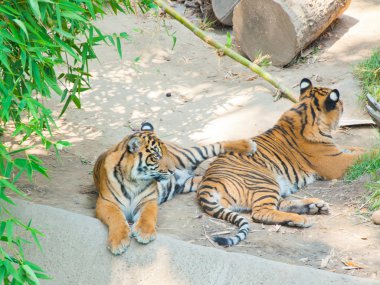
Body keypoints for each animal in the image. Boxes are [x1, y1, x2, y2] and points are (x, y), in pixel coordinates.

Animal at [93, 121, 256, 253]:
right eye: (156, 156)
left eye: (166, 154)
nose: (172, 170)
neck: (134, 180)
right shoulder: (105, 202)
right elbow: (116, 218)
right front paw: (118, 242)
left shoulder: (148, 200)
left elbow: (148, 216)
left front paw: (144, 233)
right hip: (191, 182)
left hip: (188, 156)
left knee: (215, 145)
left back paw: (249, 146)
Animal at [197, 78, 370, 246]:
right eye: (340, 103)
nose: (343, 105)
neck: (305, 108)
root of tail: (206, 183)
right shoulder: (335, 161)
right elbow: (362, 156)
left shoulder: (337, 151)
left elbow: (357, 149)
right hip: (264, 181)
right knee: (261, 212)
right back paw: (301, 219)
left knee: (281, 204)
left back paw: (314, 206)